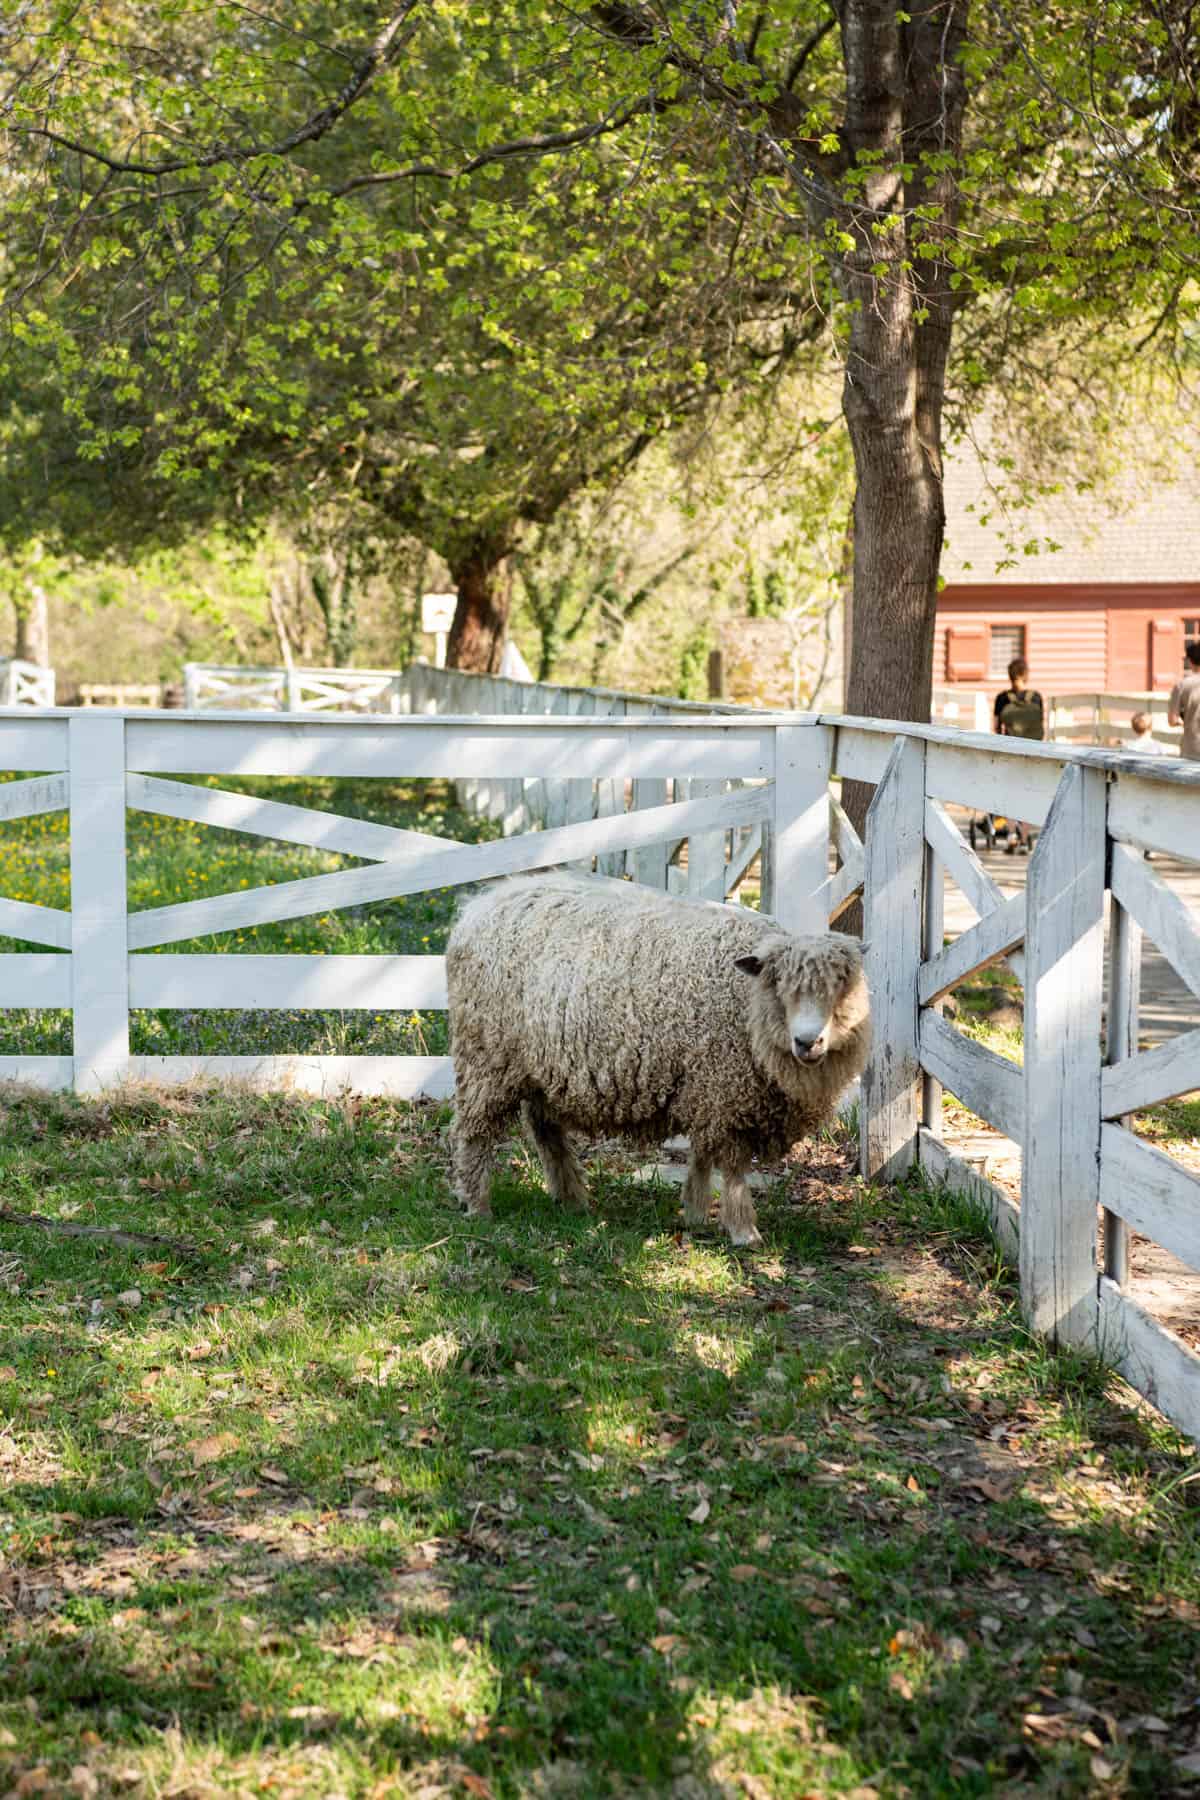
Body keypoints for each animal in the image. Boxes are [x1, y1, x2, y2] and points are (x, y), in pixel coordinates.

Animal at [445, 872, 869, 1247]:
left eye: (842, 985)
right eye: (779, 985)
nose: (807, 1042)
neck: (746, 1003)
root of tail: (475, 908)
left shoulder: (708, 1086)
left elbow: (702, 1154)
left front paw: (695, 1212)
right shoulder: (725, 1089)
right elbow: (732, 1166)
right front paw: (743, 1230)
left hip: (539, 1065)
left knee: (544, 1129)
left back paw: (572, 1199)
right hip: (486, 1057)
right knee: (473, 1131)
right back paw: (476, 1204)